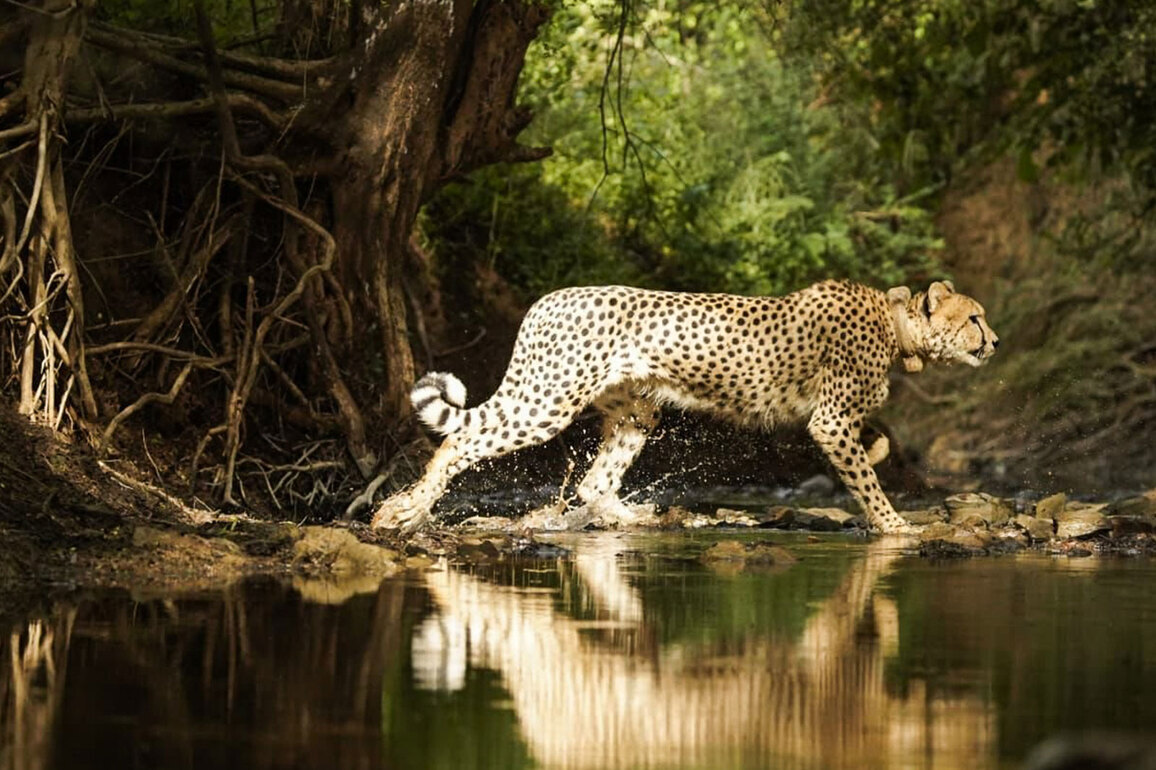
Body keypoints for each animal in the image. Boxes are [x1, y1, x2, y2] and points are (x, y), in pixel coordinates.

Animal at [372, 279, 999, 534]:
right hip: (549, 398)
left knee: (595, 483)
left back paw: (644, 518)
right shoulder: (829, 420)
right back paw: (402, 511)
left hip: (635, 410)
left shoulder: (836, 421)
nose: (994, 341)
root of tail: (548, 299)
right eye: (974, 317)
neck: (898, 329)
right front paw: (895, 525)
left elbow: (876, 449)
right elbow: (866, 481)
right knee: (458, 441)